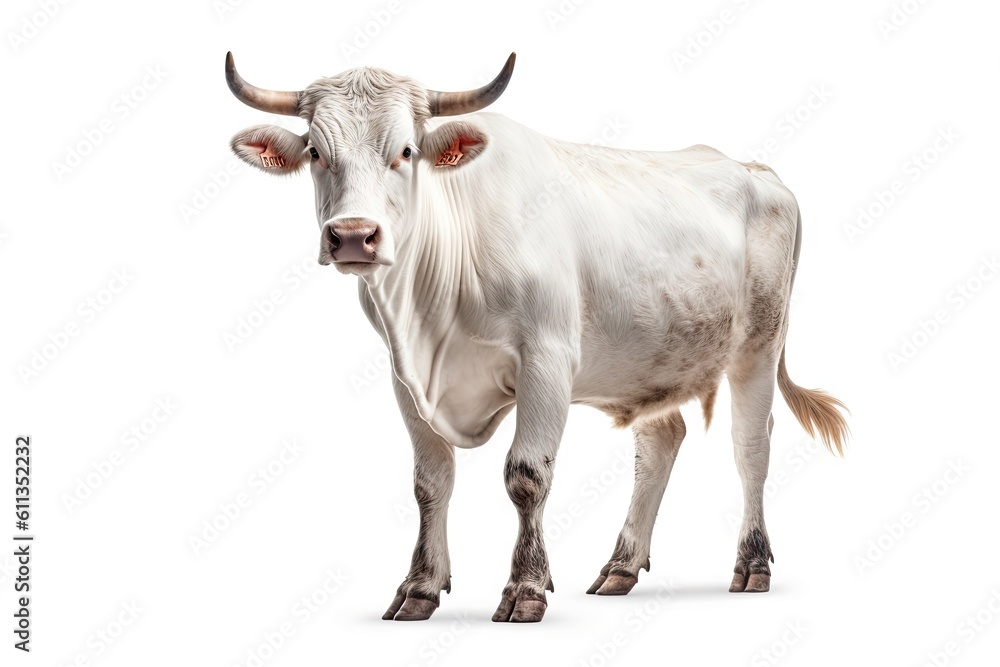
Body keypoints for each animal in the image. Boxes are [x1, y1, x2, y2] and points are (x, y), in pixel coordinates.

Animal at [227, 52, 852, 628]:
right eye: (314, 152)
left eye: (405, 151)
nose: (354, 236)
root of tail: (754, 168)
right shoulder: (405, 377)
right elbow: (430, 483)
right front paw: (419, 588)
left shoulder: (547, 360)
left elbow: (527, 476)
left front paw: (525, 589)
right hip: (656, 351)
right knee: (659, 443)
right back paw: (622, 566)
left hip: (760, 345)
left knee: (751, 447)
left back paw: (753, 563)